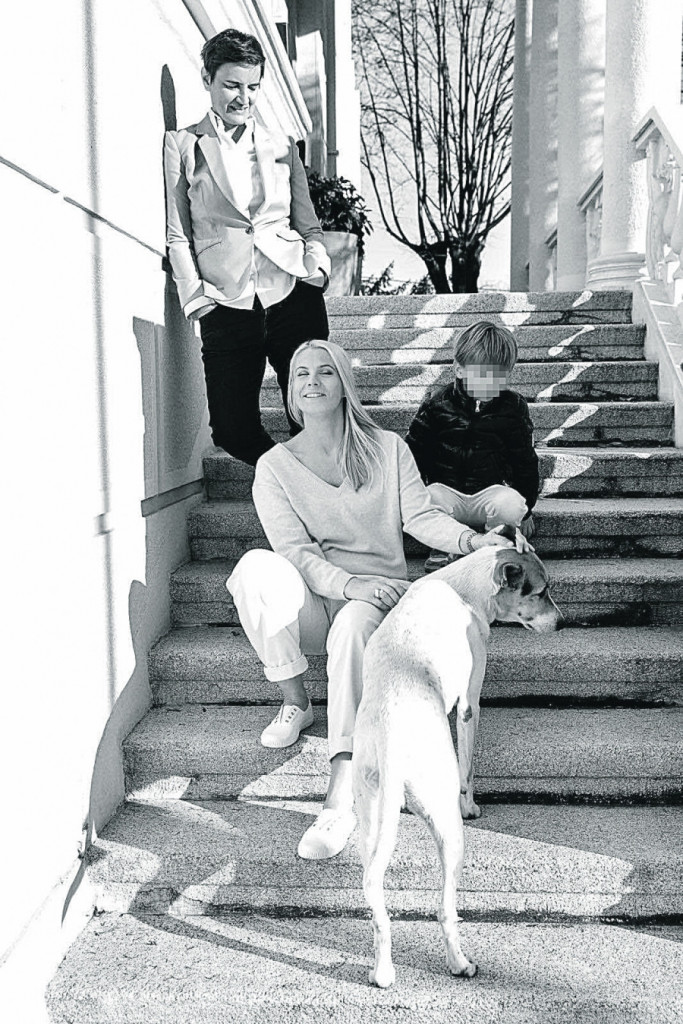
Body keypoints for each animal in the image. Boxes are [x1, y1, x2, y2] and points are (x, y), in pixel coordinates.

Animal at [352, 545, 562, 988]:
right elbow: (468, 769)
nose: (563, 622)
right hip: (450, 833)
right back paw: (459, 962)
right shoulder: (469, 705)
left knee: (375, 898)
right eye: (541, 591)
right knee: (445, 909)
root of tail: (391, 738)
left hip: (370, 824)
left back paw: (383, 971)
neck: (460, 586)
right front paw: (472, 805)